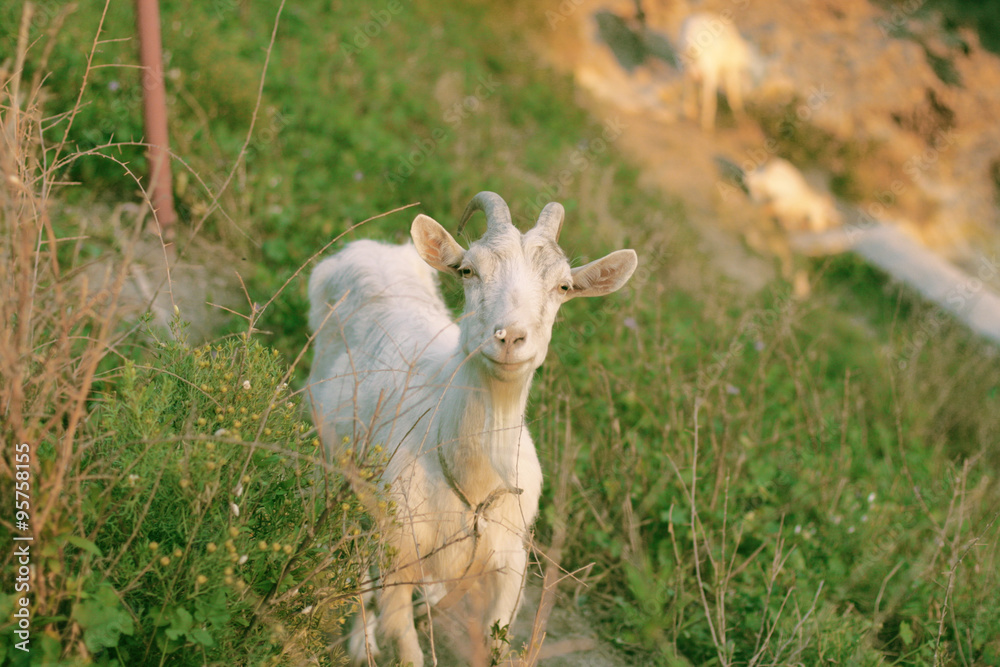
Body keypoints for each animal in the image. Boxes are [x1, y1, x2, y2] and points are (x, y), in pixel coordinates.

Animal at [307, 192, 637, 666]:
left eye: (563, 287)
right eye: (468, 271)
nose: (510, 337)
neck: (473, 484)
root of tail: (368, 249)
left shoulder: (511, 563)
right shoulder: (401, 549)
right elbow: (404, 638)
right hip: (331, 449)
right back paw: (363, 641)